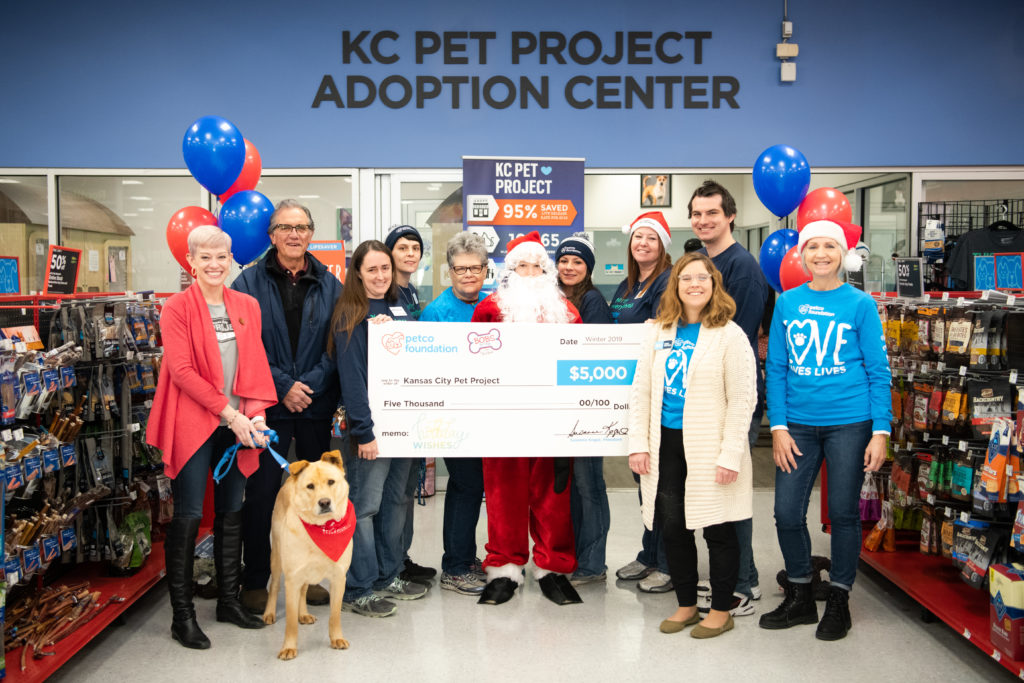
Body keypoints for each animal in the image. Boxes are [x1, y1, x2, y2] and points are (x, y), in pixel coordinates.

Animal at [262, 450, 354, 659]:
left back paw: (303, 613)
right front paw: (289, 647)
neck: (322, 528)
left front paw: (336, 638)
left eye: (331, 482)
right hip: (277, 559)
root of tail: (289, 479)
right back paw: (269, 613)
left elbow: (335, 615)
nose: (325, 502)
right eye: (310, 486)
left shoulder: (338, 577)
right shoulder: (292, 579)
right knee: (274, 587)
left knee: (304, 591)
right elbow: (290, 623)